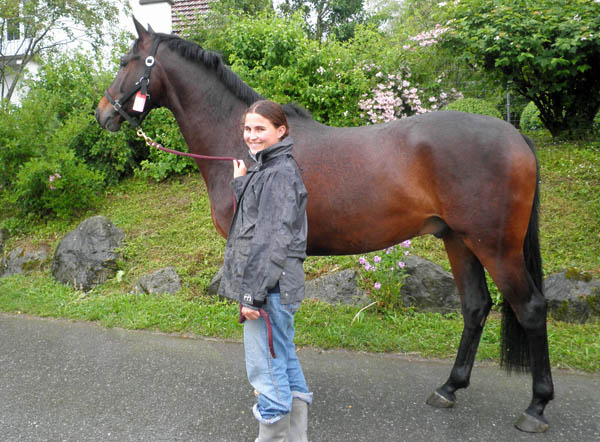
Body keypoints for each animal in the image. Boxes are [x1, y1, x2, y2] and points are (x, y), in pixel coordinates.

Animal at [97, 19, 552, 434]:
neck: (246, 147)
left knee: (530, 308)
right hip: (458, 240)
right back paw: (449, 388)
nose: (102, 113)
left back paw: (536, 407)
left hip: (495, 247)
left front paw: (270, 396)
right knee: (476, 307)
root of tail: (515, 135)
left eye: (124, 62)